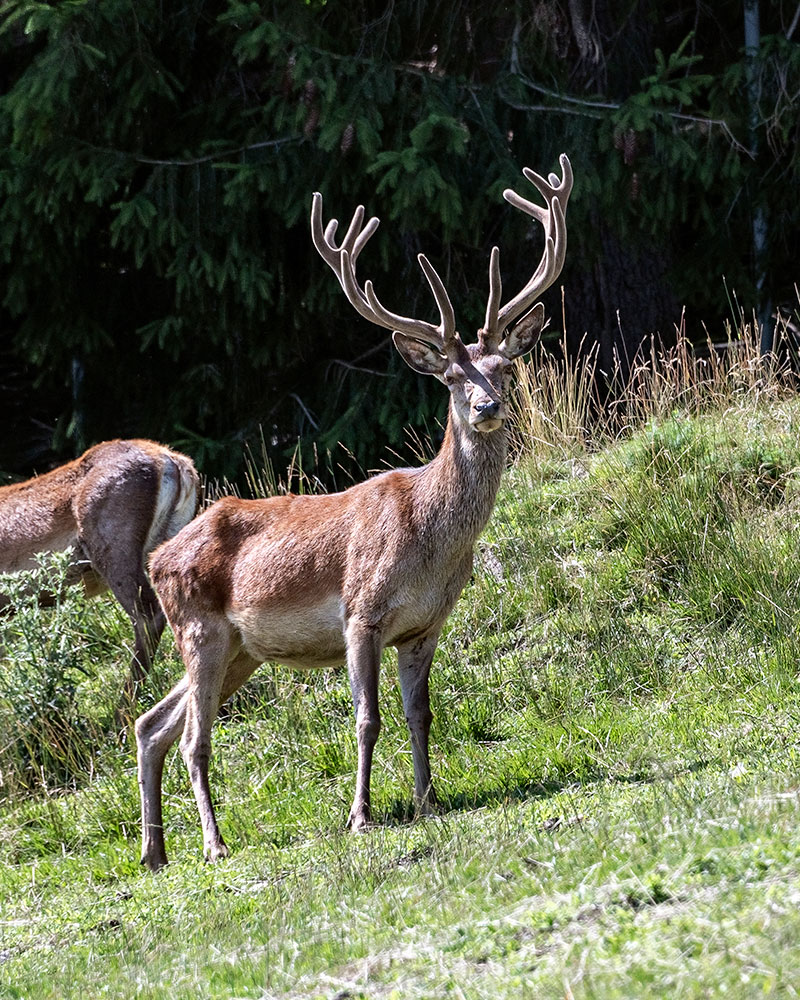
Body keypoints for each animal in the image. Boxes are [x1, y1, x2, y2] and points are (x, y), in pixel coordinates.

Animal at [139, 152, 576, 872]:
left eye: (505, 369)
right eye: (451, 379)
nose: (487, 408)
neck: (429, 543)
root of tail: (156, 558)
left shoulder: (426, 625)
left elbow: (420, 714)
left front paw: (428, 800)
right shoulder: (361, 612)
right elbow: (366, 719)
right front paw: (362, 816)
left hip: (239, 648)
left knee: (153, 723)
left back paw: (155, 852)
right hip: (198, 627)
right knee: (193, 739)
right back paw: (213, 844)